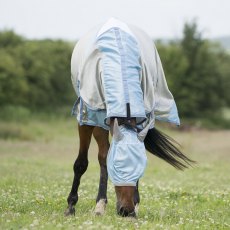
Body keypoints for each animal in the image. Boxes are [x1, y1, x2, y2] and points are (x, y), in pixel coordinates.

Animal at [63, 18, 195, 217]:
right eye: (117, 168)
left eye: (141, 167)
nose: (126, 211)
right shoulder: (87, 117)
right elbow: (82, 163)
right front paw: (71, 205)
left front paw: (135, 203)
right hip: (99, 124)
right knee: (102, 156)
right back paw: (100, 205)